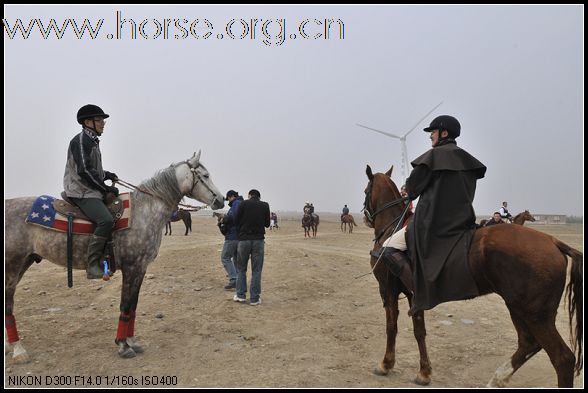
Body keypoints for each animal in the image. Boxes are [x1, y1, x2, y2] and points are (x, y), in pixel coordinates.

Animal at [4, 151, 225, 362]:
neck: (144, 212)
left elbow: (133, 307)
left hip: (24, 262)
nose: (221, 200)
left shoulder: (140, 269)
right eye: (205, 175)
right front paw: (123, 345)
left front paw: (131, 341)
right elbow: (125, 306)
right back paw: (18, 350)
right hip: (13, 265)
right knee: (8, 303)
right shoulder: (131, 267)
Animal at [366, 165, 580, 386]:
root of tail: (553, 242)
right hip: (518, 307)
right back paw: (497, 379)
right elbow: (419, 331)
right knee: (529, 343)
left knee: (562, 358)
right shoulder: (412, 296)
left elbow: (391, 326)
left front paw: (386, 364)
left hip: (535, 315)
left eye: (366, 191)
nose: (366, 218)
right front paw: (424, 372)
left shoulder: (388, 289)